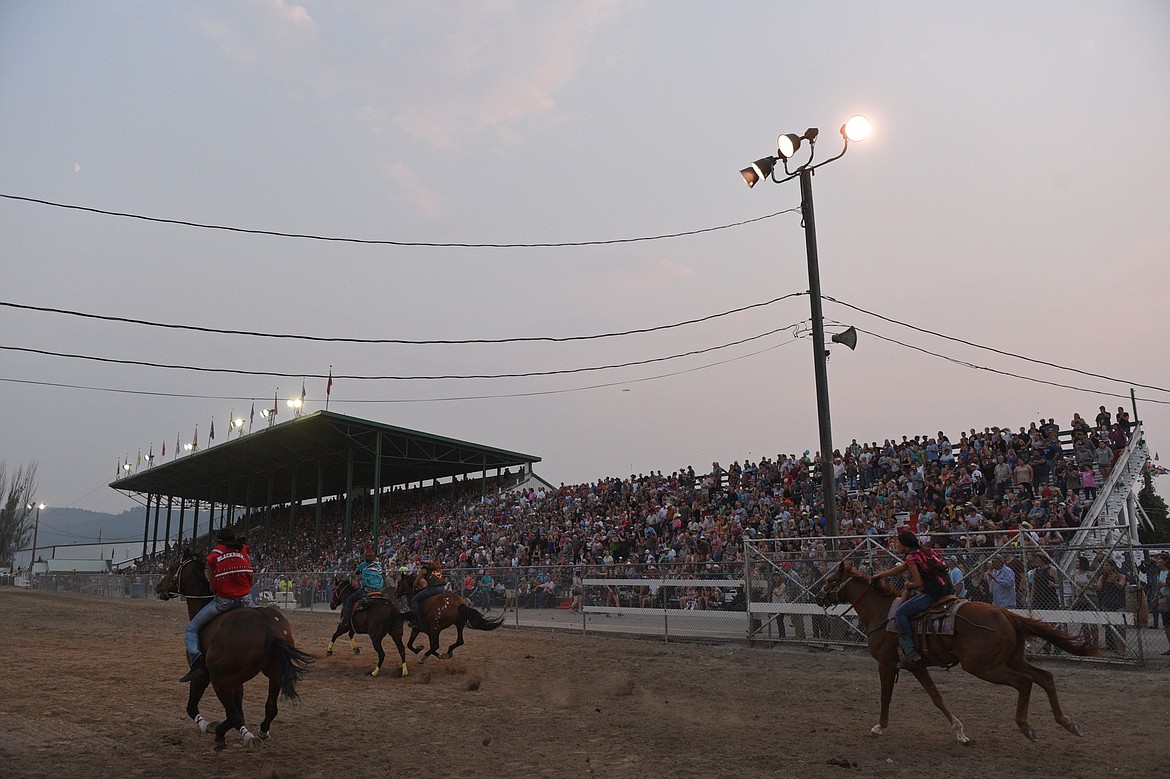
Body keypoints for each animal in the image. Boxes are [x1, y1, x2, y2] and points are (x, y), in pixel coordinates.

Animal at [160, 545, 318, 748]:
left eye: (172, 567)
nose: (159, 587)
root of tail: (267, 629)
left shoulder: (203, 675)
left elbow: (192, 707)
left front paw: (206, 725)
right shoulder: (237, 681)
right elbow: (240, 713)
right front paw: (245, 734)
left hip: (219, 680)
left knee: (233, 714)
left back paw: (220, 734)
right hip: (273, 675)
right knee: (269, 709)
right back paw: (260, 732)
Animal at [814, 559, 1095, 739]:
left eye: (831, 579)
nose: (818, 597)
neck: (882, 613)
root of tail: (1005, 614)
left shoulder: (886, 663)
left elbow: (885, 696)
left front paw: (879, 727)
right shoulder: (916, 665)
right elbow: (936, 697)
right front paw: (959, 731)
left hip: (983, 666)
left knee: (1025, 682)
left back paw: (1026, 727)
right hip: (1011, 659)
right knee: (1044, 677)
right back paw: (1069, 723)